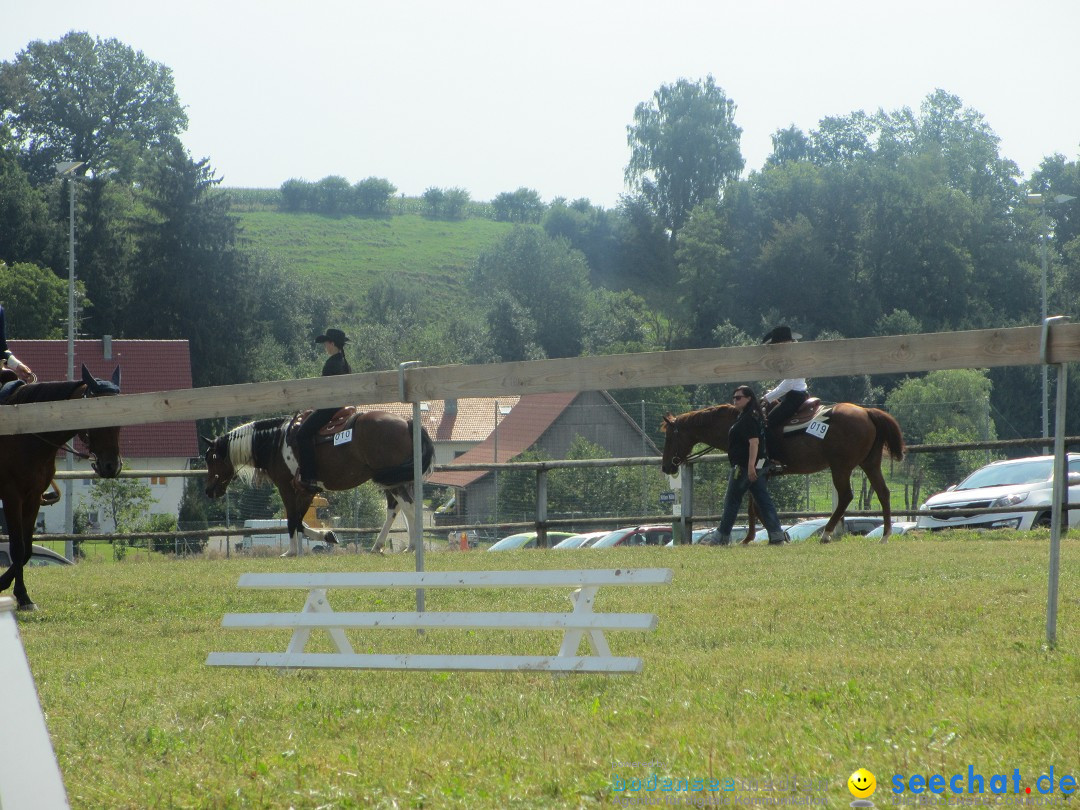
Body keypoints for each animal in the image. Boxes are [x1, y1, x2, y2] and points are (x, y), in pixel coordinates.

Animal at [0, 367, 123, 609]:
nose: (111, 466)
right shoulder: (12, 496)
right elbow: (17, 548)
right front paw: (21, 595)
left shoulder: (32, 498)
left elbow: (27, 549)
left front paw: (13, 590)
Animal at [204, 408, 432, 557]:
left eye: (211, 459)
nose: (209, 491)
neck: (276, 443)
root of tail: (407, 422)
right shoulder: (307, 491)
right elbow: (299, 521)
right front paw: (328, 535)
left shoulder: (287, 487)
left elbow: (293, 520)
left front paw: (291, 551)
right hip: (391, 480)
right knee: (396, 509)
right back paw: (382, 546)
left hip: (393, 480)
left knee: (408, 507)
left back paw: (412, 546)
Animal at [656, 401, 902, 542]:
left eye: (669, 437)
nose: (666, 466)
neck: (737, 423)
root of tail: (867, 412)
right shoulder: (758, 475)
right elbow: (754, 506)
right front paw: (760, 536)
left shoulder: (757, 472)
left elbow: (755, 505)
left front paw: (763, 536)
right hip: (870, 464)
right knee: (883, 492)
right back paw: (886, 535)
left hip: (840, 467)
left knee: (846, 497)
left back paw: (826, 533)